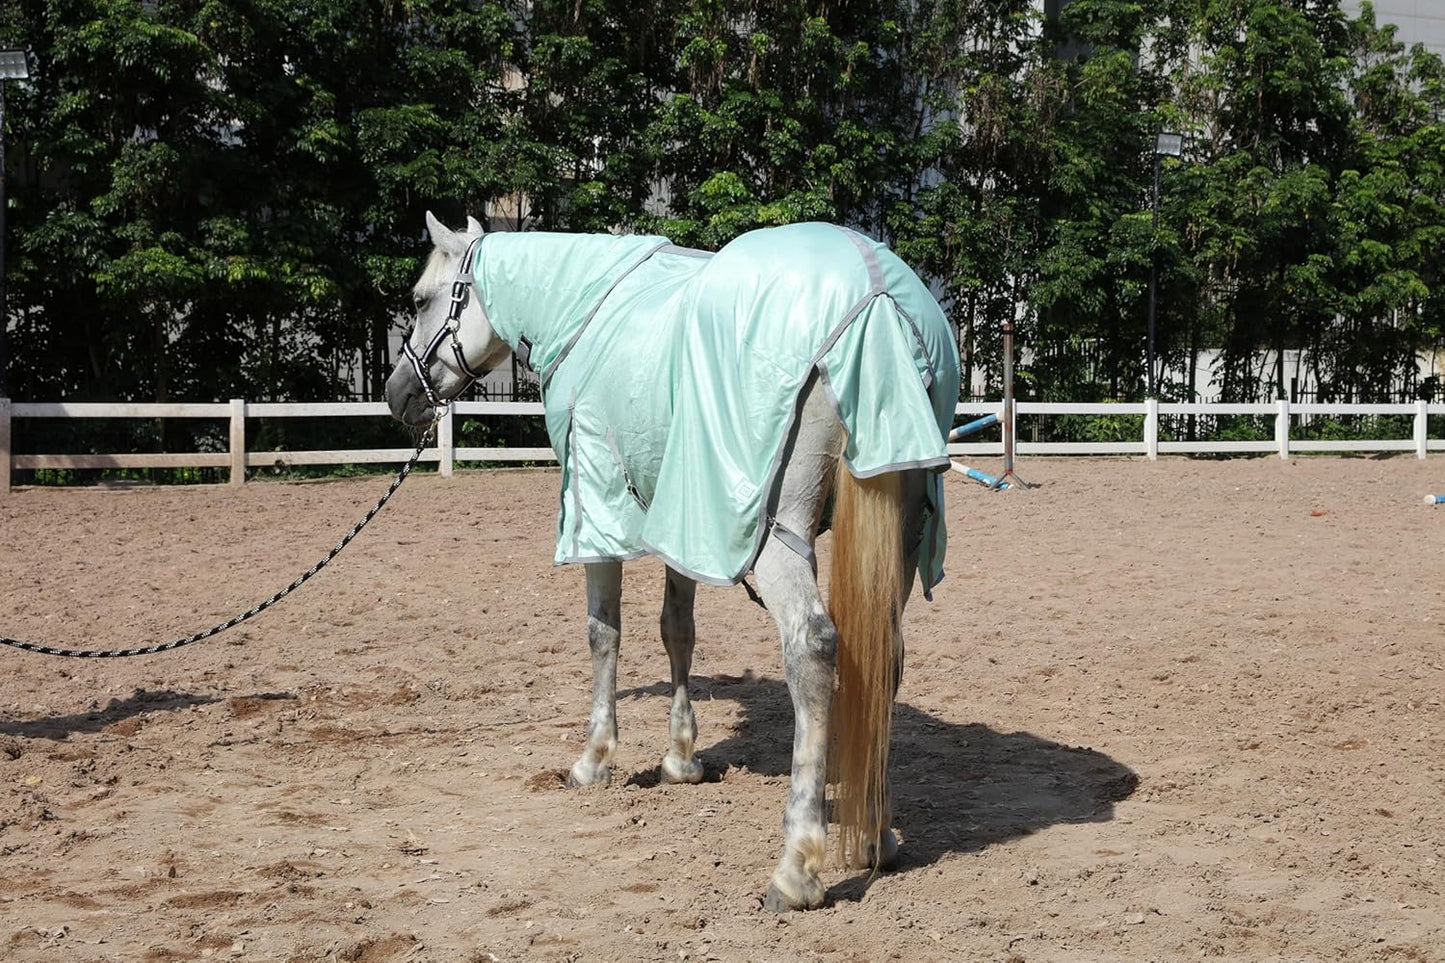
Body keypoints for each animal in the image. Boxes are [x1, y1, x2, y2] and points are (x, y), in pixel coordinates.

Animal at [385, 212, 959, 911]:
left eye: (420, 300)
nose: (397, 394)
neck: (586, 309)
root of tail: (876, 297)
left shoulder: (598, 503)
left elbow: (604, 633)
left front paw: (594, 760)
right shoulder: (684, 511)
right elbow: (676, 629)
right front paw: (682, 759)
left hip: (778, 537)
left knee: (814, 648)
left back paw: (796, 868)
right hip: (897, 538)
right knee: (885, 655)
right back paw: (876, 836)